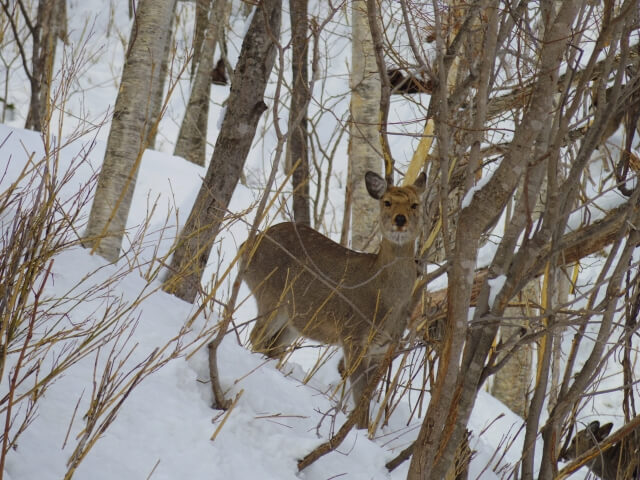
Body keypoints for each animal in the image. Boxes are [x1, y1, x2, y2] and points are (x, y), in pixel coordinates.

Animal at [244, 170, 424, 428]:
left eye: (415, 204)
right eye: (387, 202)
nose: (400, 219)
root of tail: (247, 247)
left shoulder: (382, 348)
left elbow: (366, 395)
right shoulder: (353, 335)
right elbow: (359, 394)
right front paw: (359, 429)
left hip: (294, 320)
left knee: (273, 347)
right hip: (269, 295)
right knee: (256, 337)